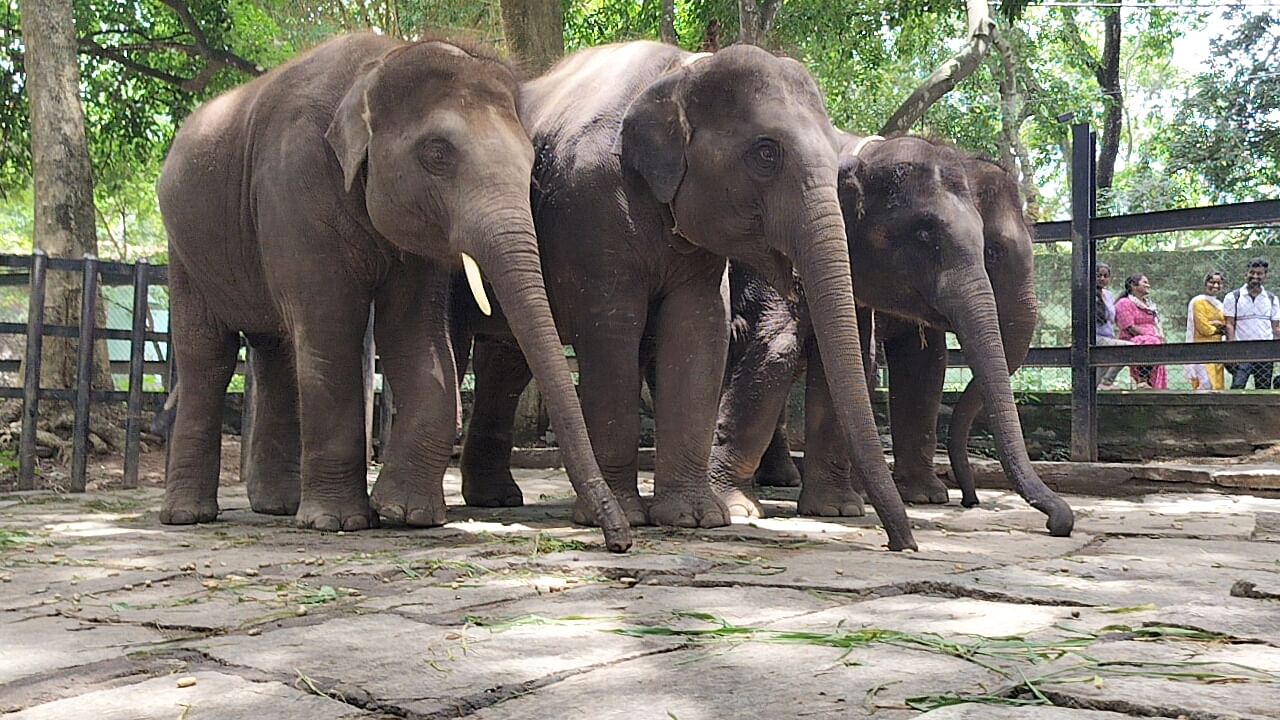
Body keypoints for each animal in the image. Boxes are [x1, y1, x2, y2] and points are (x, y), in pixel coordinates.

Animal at [154, 32, 629, 548]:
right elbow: (330, 332)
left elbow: (416, 337)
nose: (619, 540)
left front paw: (406, 513)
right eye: (438, 153)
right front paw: (338, 522)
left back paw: (277, 506)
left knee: (275, 351)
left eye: (531, 162)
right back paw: (188, 516)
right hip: (184, 250)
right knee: (209, 357)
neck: (375, 66)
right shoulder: (294, 189)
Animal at [448, 41, 911, 548]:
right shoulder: (589, 206)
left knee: (504, 360)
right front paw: (630, 518)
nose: (899, 542)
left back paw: (496, 499)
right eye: (765, 153)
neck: (681, 70)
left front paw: (695, 519)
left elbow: (699, 328)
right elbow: (612, 329)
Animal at [716, 131, 1075, 535]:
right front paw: (739, 508)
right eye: (923, 232)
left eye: (987, 248)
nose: (970, 499)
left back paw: (786, 480)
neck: (860, 153)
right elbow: (777, 346)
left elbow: (895, 364)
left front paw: (844, 509)